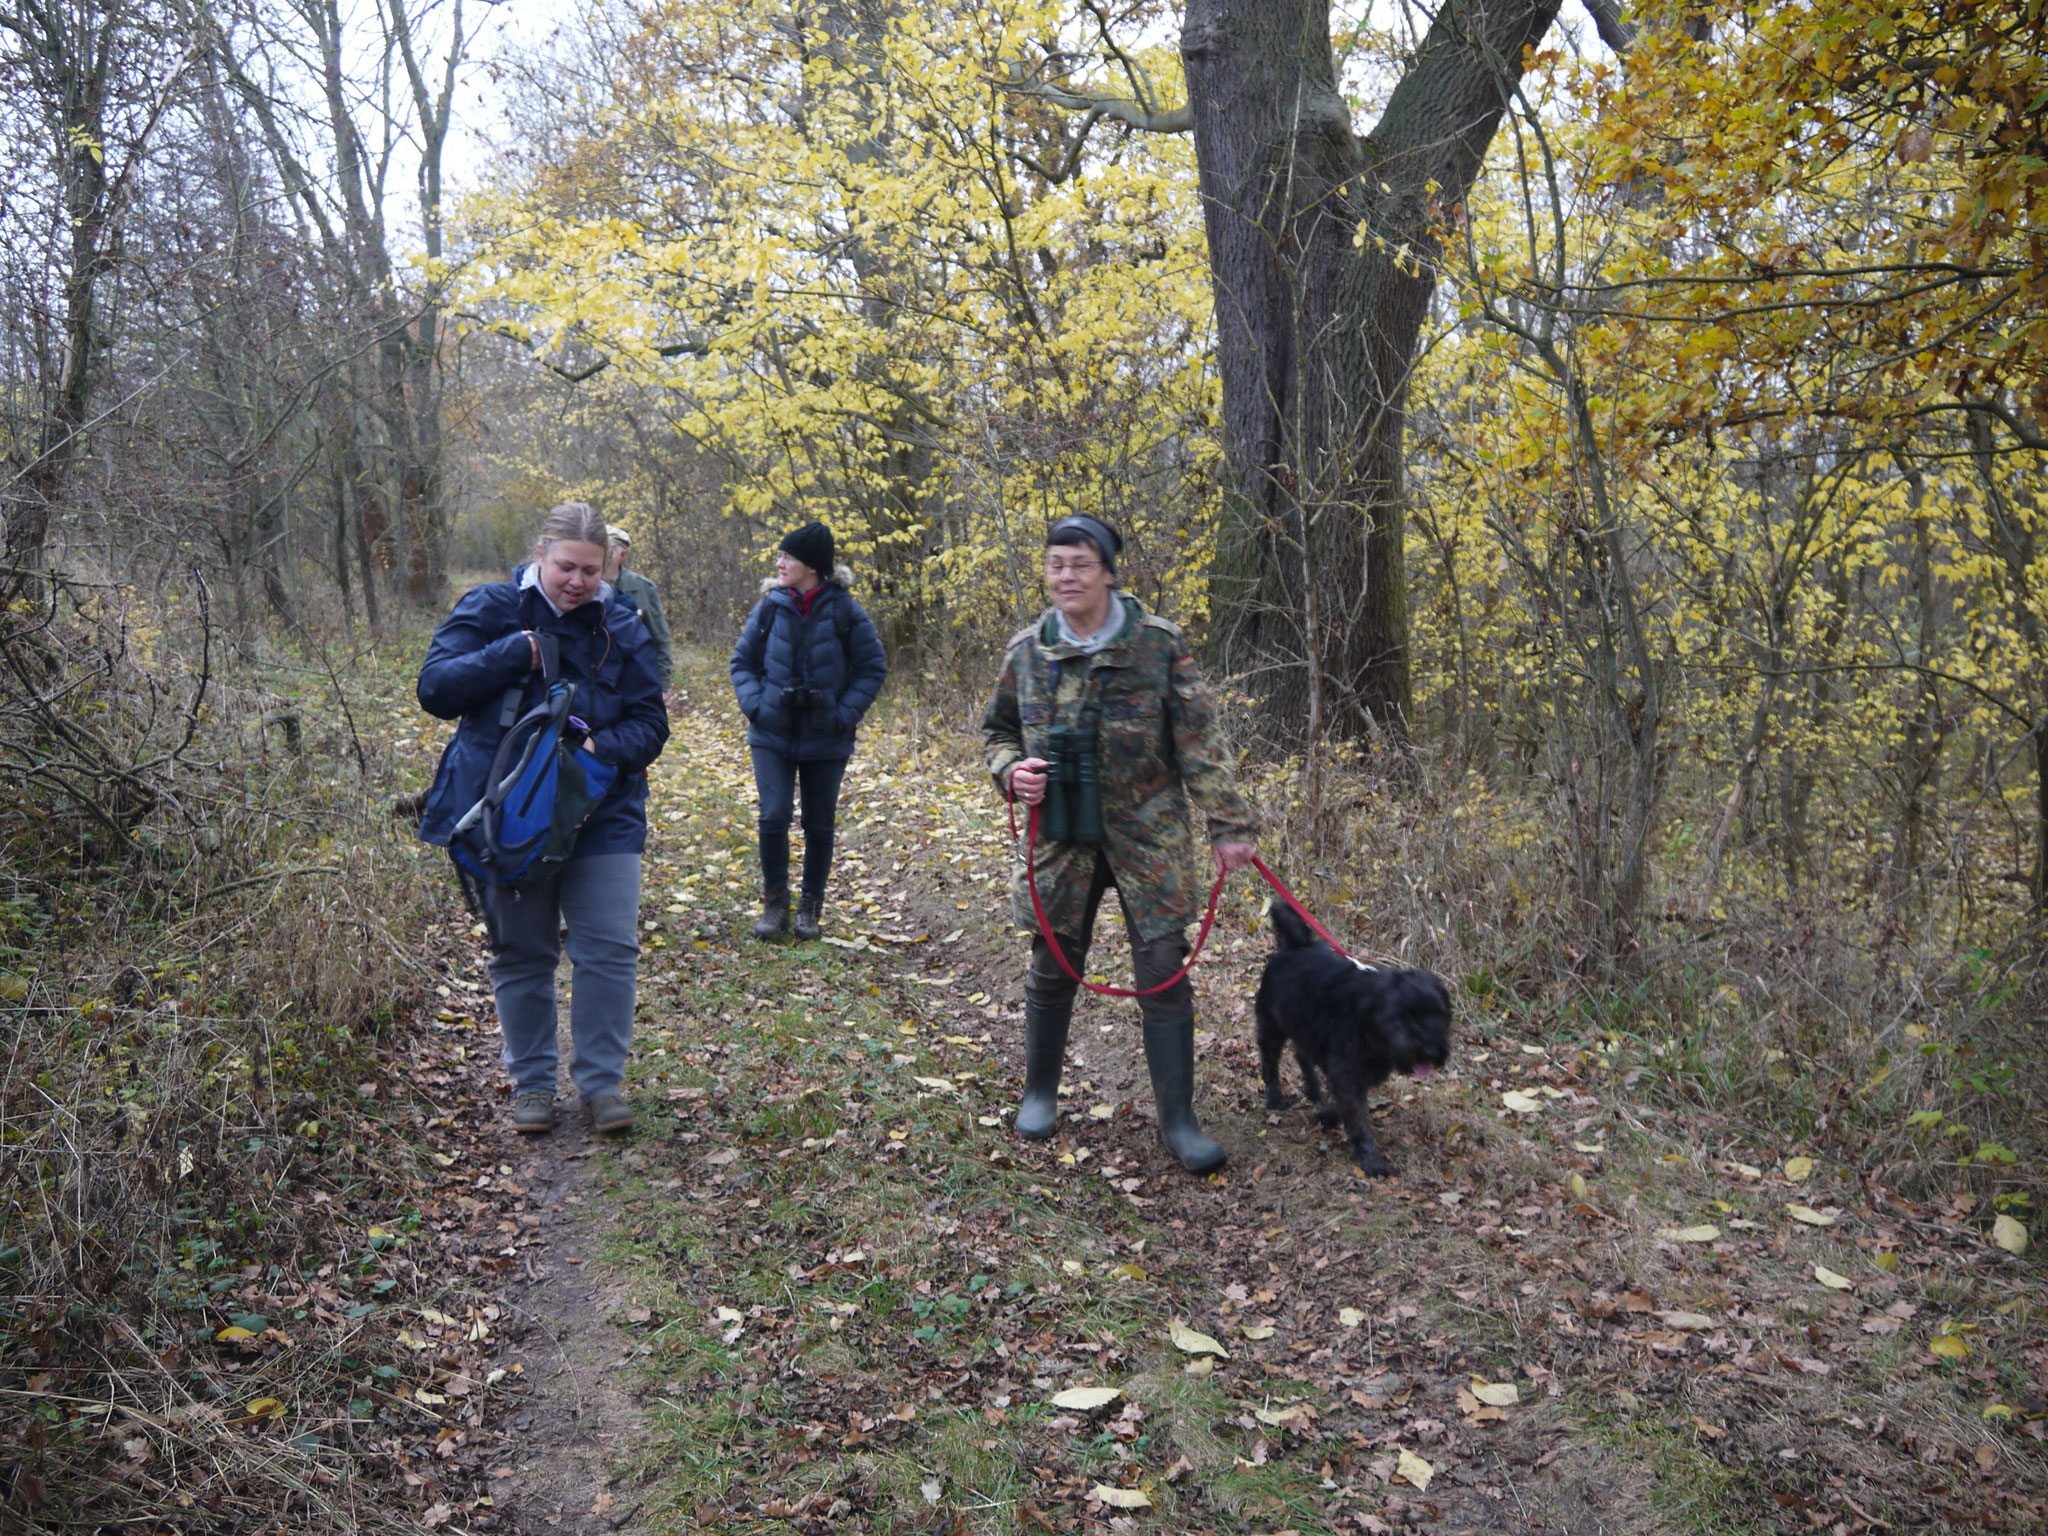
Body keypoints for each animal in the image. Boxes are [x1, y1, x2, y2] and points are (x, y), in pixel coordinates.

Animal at [1245, 901, 1458, 1179]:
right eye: (1407, 1015)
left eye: (1440, 1015)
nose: (1432, 1051)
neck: (1369, 1019)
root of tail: (1294, 944)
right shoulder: (1347, 1073)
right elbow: (1357, 1119)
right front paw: (1372, 1161)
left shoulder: (1360, 1073)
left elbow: (1344, 1104)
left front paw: (1326, 1116)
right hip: (1272, 1028)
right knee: (1270, 1062)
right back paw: (1275, 1097)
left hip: (1304, 1029)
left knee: (1301, 1054)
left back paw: (1312, 1089)